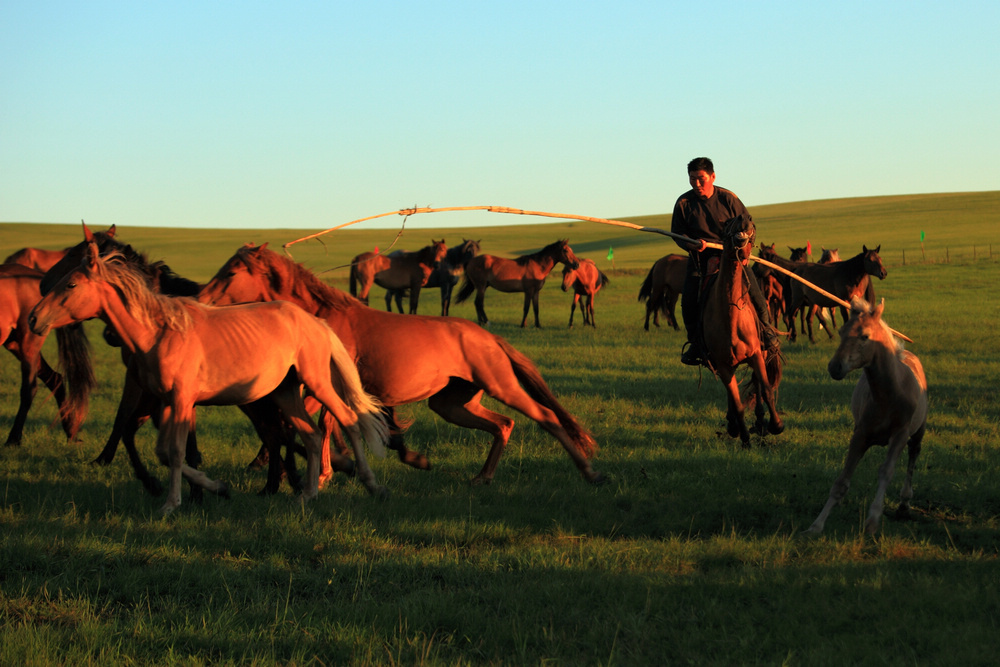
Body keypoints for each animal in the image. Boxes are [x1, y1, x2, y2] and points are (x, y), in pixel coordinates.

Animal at [0, 264, 94, 446]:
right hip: (15, 344)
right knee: (54, 378)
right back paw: (71, 433)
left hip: (29, 342)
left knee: (29, 389)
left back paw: (13, 439)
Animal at [29, 235, 388, 516]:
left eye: (71, 283)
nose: (34, 318)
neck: (159, 333)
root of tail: (315, 322)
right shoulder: (166, 402)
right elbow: (165, 452)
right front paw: (216, 488)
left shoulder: (181, 400)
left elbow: (176, 452)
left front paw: (171, 503)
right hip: (285, 393)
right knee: (311, 436)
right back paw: (308, 495)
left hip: (316, 383)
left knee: (348, 420)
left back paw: (370, 484)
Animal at [195, 243, 600, 488]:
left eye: (231, 273)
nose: (199, 298)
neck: (324, 320)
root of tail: (487, 337)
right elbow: (325, 425)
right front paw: (335, 469)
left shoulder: (327, 388)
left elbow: (323, 425)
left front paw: (327, 472)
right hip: (452, 403)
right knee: (503, 425)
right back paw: (481, 478)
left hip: (502, 386)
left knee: (545, 417)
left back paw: (588, 471)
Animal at [696, 217, 780, 446]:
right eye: (727, 223)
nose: (745, 219)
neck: (730, 318)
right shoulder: (723, 365)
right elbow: (737, 403)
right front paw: (744, 440)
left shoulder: (756, 354)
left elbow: (766, 389)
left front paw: (776, 425)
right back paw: (734, 425)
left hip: (762, 353)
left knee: (758, 384)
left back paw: (760, 421)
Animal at [804, 298, 928, 536]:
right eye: (841, 332)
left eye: (865, 336)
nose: (835, 367)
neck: (888, 395)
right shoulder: (860, 435)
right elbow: (842, 481)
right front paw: (816, 525)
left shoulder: (900, 434)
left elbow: (886, 471)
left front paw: (872, 522)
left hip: (919, 430)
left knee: (914, 454)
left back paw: (904, 504)